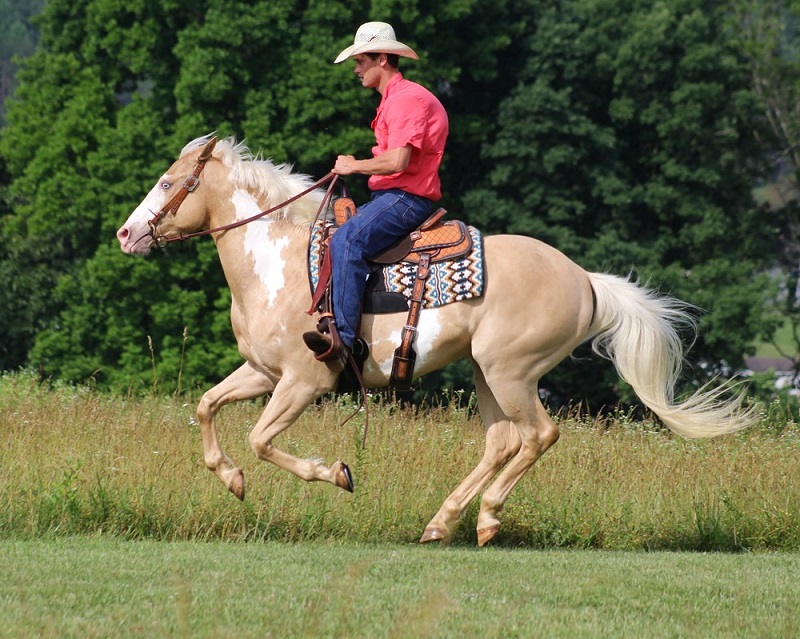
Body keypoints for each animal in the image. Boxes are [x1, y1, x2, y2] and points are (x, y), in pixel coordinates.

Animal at [116, 134, 755, 546]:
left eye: (168, 182)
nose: (125, 234)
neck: (279, 263)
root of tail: (585, 280)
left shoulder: (303, 380)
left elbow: (261, 439)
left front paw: (336, 473)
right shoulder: (263, 373)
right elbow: (207, 407)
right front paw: (232, 480)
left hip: (510, 371)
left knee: (538, 435)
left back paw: (487, 519)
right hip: (486, 372)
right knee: (501, 441)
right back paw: (443, 522)